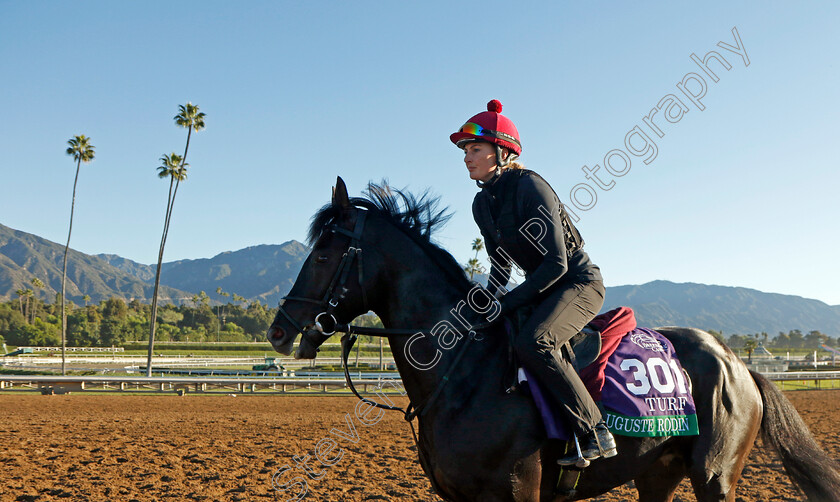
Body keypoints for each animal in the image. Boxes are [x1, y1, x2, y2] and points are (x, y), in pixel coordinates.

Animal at [268, 177, 840, 502]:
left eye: (323, 253)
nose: (278, 331)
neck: (462, 375)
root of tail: (739, 366)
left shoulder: (518, 491)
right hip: (657, 473)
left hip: (715, 476)